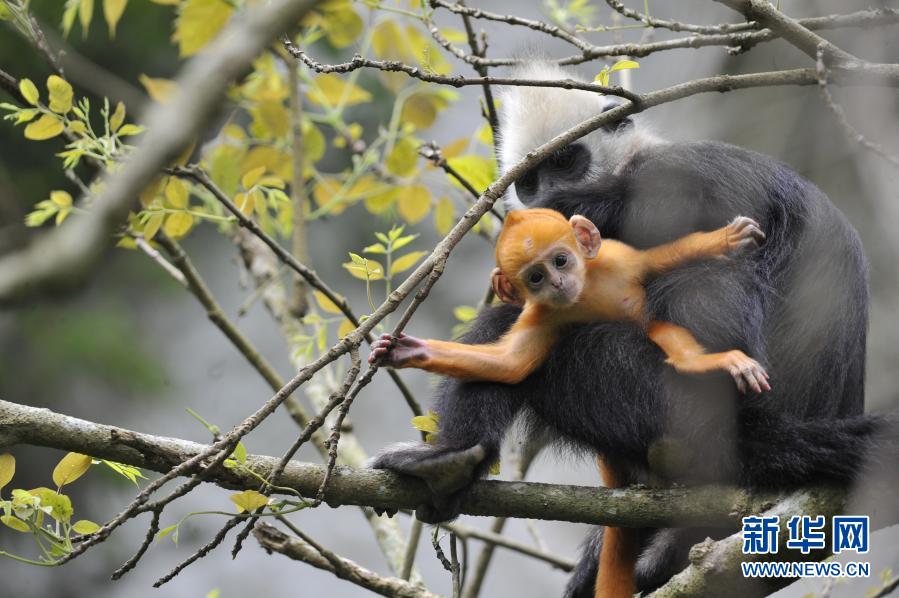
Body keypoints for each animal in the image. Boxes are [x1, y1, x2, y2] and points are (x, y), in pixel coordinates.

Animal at [370, 208, 770, 395]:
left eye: (560, 260)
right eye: (536, 277)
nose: (558, 282)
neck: (586, 293)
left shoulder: (618, 259)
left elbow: (661, 259)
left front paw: (729, 239)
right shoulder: (543, 313)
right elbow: (509, 364)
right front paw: (409, 351)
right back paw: (697, 363)